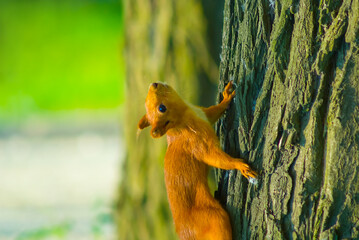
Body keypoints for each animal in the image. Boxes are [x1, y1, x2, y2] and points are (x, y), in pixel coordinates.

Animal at [139, 81, 258, 239]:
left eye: (147, 104)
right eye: (161, 108)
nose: (154, 84)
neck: (185, 115)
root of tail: (186, 233)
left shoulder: (204, 114)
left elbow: (213, 112)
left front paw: (226, 99)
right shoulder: (197, 141)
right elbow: (214, 157)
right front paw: (239, 165)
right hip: (213, 217)